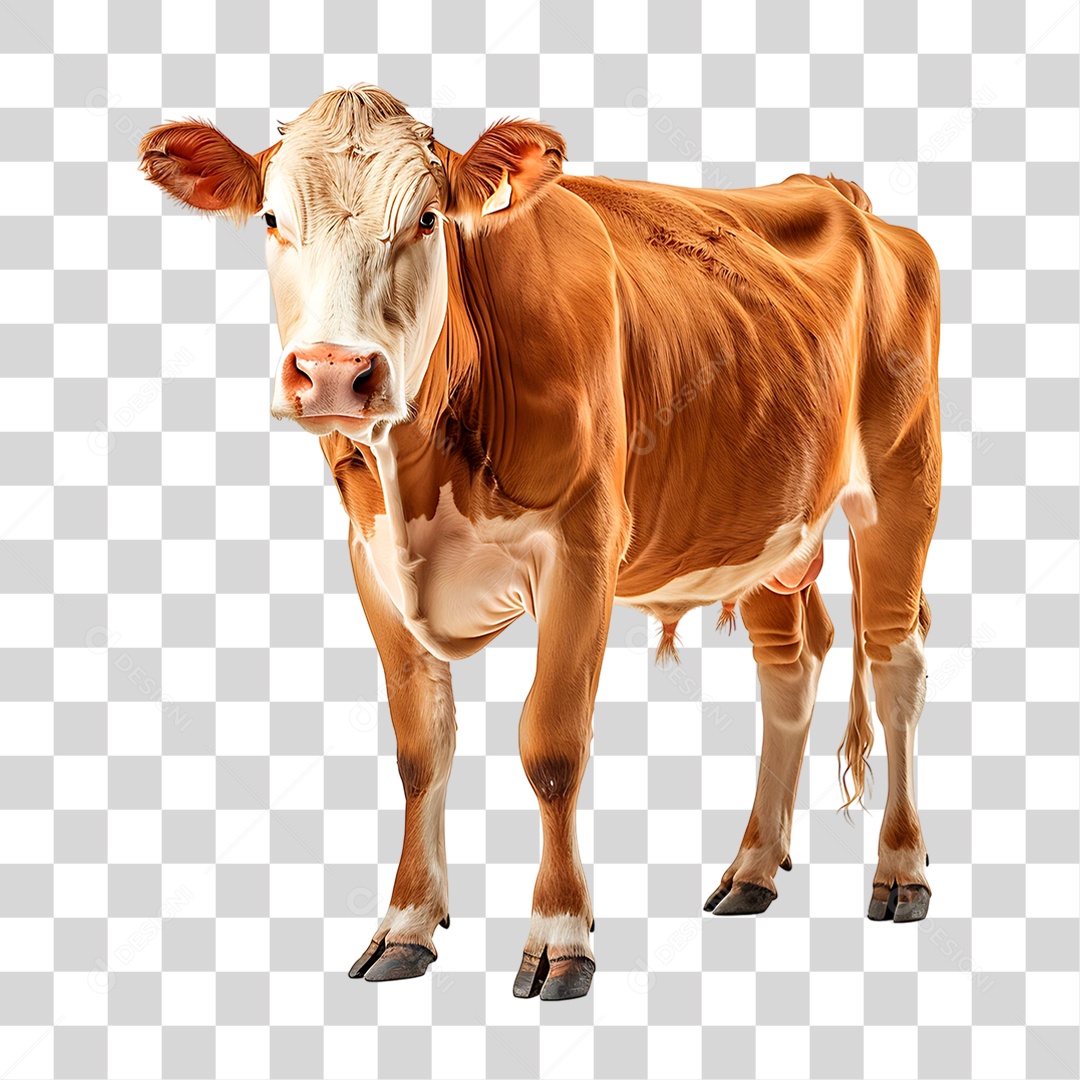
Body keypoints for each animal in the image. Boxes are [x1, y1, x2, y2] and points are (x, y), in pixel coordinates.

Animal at [138, 84, 941, 1001]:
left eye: (426, 218)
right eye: (272, 217)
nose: (336, 372)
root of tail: (845, 196)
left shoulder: (584, 548)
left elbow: (551, 747)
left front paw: (561, 938)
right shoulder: (372, 563)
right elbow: (420, 751)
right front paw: (406, 925)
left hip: (901, 484)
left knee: (895, 663)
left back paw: (901, 871)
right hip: (765, 524)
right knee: (791, 667)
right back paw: (753, 868)